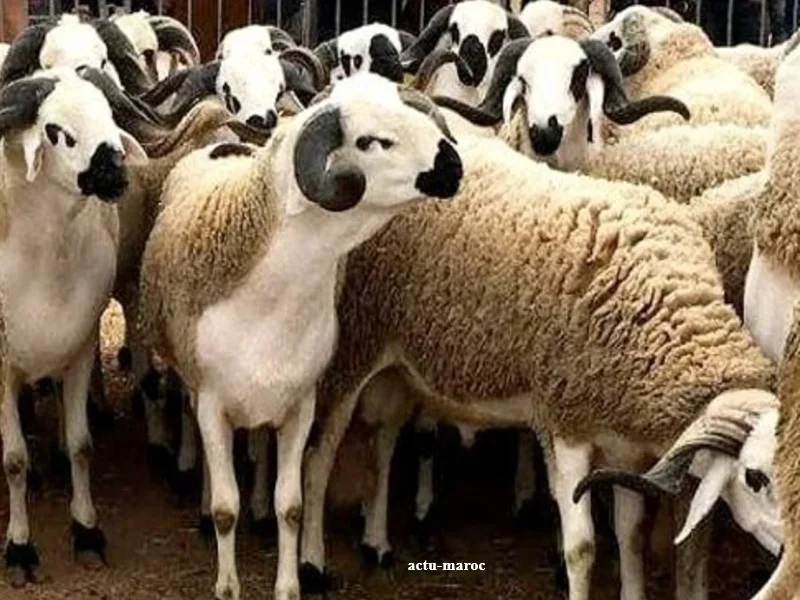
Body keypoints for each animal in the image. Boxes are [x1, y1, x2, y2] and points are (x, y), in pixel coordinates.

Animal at [0, 67, 153, 587]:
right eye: (56, 131)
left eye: (108, 114)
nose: (116, 173)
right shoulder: (1, 367)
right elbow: (14, 459)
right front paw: (20, 548)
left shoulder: (81, 347)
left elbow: (82, 446)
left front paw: (87, 531)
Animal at [137, 73, 464, 600]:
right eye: (370, 141)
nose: (452, 165)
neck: (271, 300)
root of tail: (225, 144)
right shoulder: (212, 405)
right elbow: (227, 508)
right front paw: (227, 584)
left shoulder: (300, 405)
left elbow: (290, 505)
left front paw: (290, 584)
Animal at [297, 132, 781, 600]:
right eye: (755, 478)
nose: (784, 553)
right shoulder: (563, 422)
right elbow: (582, 547)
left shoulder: (623, 441)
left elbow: (630, 535)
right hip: (354, 346)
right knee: (320, 459)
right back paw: (313, 565)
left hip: (399, 365)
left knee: (384, 441)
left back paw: (377, 542)